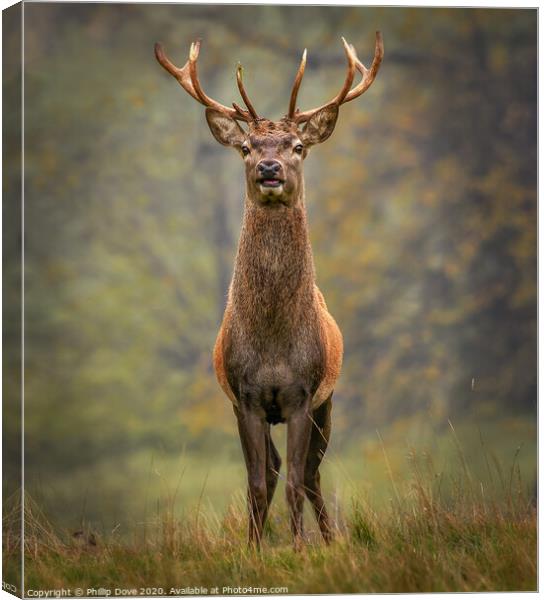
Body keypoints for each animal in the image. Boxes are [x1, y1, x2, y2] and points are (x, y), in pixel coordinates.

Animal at [153, 31, 382, 548]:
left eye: (297, 145)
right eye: (246, 147)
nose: (270, 168)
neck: (275, 345)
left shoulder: (303, 393)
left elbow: (297, 479)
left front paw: (298, 548)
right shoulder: (245, 397)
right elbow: (258, 481)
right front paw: (254, 549)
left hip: (328, 403)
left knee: (311, 473)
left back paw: (329, 539)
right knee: (276, 469)